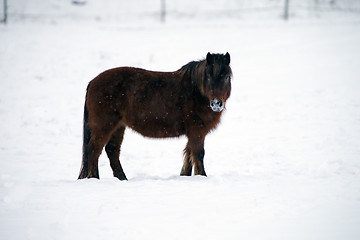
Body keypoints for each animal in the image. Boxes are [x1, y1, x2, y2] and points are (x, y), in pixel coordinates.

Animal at [77, 52, 232, 180]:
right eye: (209, 76)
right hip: (104, 126)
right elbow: (198, 154)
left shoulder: (193, 132)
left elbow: (189, 154)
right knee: (94, 150)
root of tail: (93, 82)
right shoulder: (197, 131)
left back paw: (122, 179)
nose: (216, 104)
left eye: (226, 76)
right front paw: (202, 176)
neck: (196, 91)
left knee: (112, 151)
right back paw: (94, 178)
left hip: (118, 127)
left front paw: (185, 176)